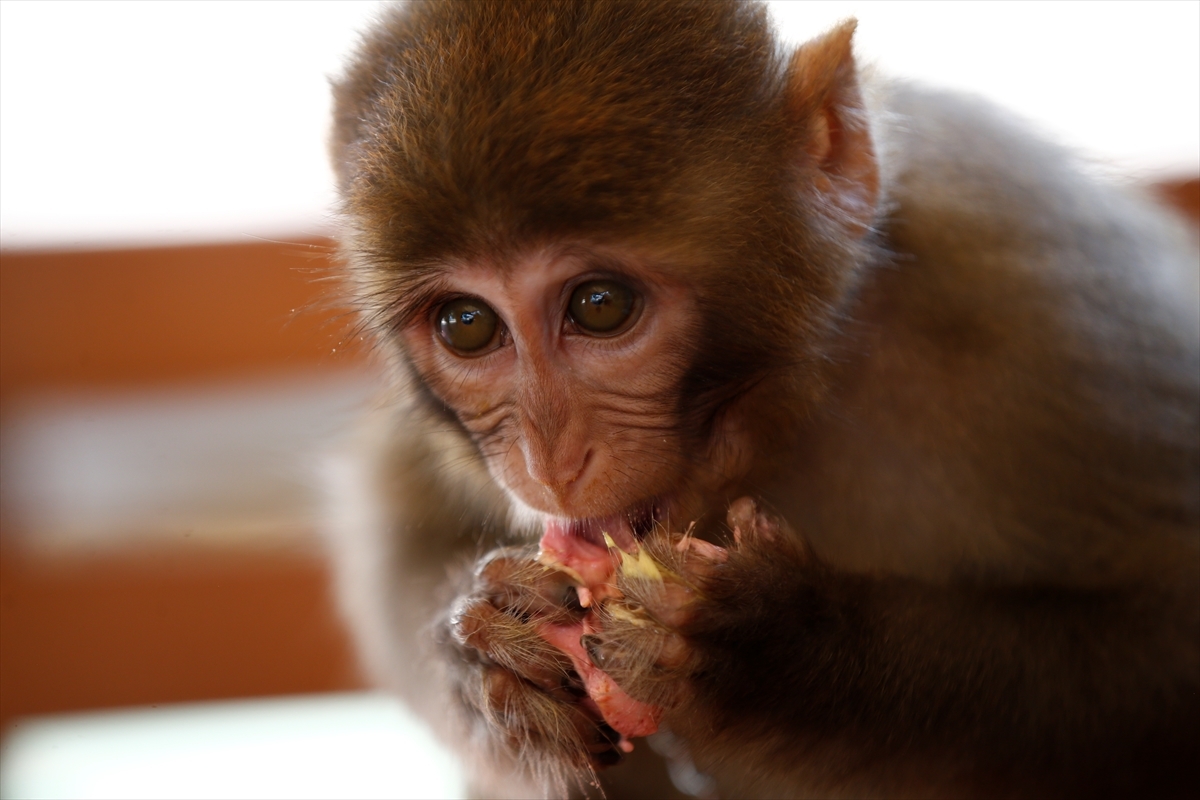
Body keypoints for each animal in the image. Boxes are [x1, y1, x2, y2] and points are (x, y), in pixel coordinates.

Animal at [324, 3, 1195, 796]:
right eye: (467, 325)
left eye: (600, 306)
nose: (549, 460)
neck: (796, 403)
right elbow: (398, 537)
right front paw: (476, 658)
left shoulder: (1046, 305)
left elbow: (1166, 646)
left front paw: (787, 649)